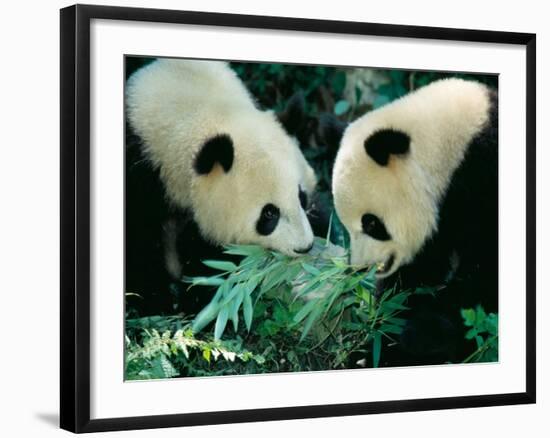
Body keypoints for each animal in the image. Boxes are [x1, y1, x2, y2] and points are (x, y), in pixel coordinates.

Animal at [126, 59, 320, 314]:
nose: (304, 247)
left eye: (301, 196)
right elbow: (140, 246)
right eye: (269, 213)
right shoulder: (141, 175)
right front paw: (162, 300)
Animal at [330, 78, 502, 366]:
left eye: (371, 223)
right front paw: (375, 347)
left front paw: (420, 340)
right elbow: (415, 276)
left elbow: (483, 276)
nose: (360, 267)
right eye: (345, 226)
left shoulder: (484, 184)